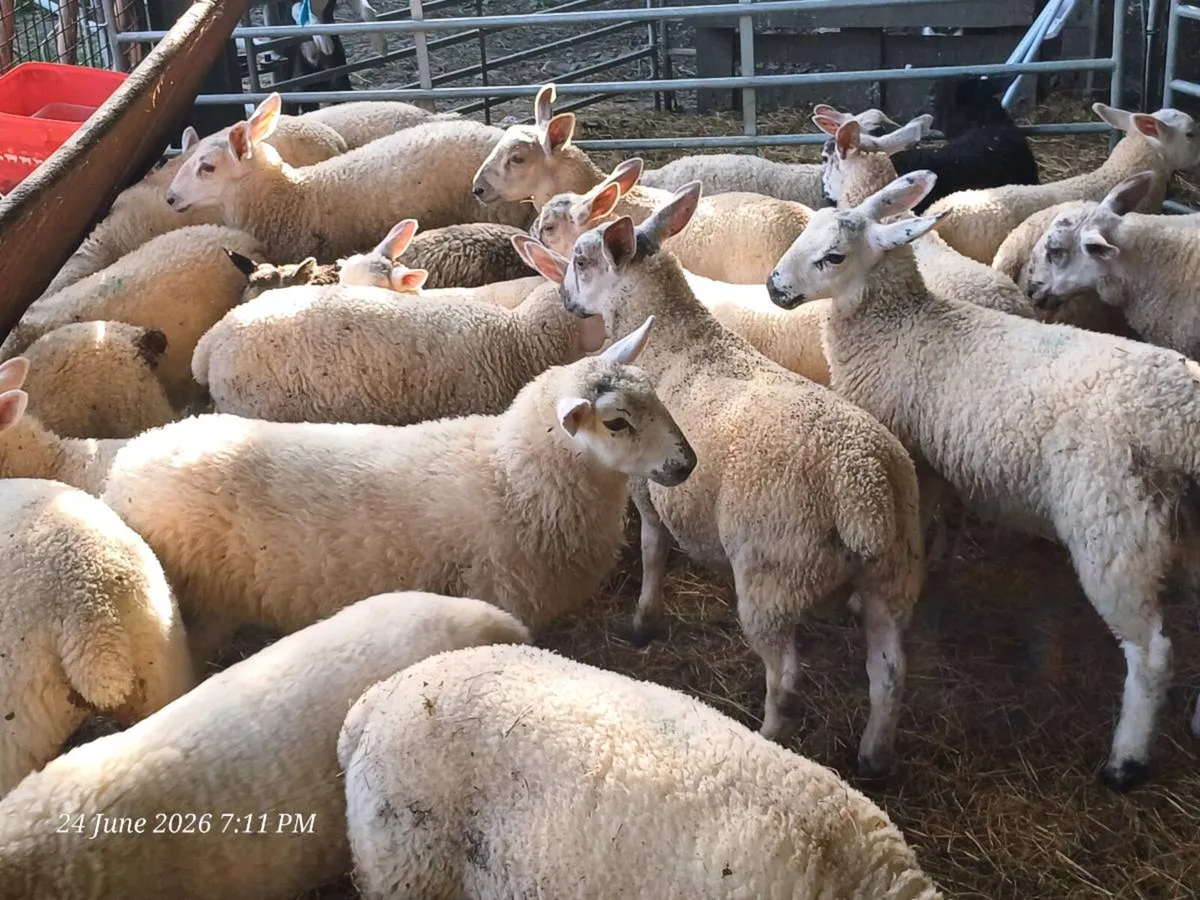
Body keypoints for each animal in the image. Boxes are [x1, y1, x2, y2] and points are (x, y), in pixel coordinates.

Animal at [103, 323, 695, 665]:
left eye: (656, 395)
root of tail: (125, 468)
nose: (686, 463)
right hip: (203, 604)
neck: (512, 479)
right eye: (616, 423)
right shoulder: (505, 597)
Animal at [518, 183, 924, 777]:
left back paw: (771, 735)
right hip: (893, 574)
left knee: (786, 678)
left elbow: (653, 552)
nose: (567, 300)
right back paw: (873, 757)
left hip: (773, 574)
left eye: (582, 261)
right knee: (890, 673)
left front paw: (644, 620)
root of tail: (862, 485)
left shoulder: (649, 486)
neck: (676, 334)